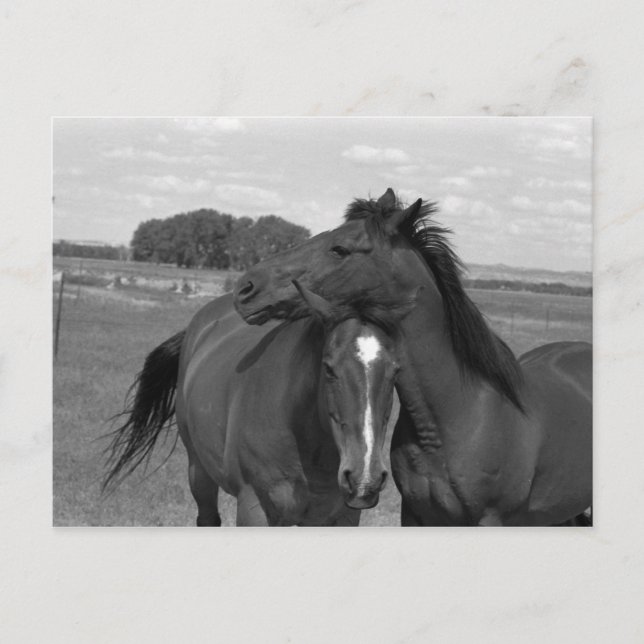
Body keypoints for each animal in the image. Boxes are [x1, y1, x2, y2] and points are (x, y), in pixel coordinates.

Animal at [104, 282, 403, 526]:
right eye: (329, 368)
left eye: (396, 371)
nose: (365, 478)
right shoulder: (254, 509)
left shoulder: (341, 517)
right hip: (198, 470)